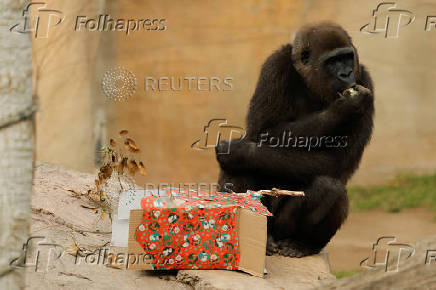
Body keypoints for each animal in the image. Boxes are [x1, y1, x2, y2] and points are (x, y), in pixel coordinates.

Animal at [216, 23, 372, 258]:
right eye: (332, 61)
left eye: (347, 57)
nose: (346, 74)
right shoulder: (276, 64)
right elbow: (262, 131)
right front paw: (342, 110)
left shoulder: (366, 82)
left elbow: (337, 161)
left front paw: (239, 152)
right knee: (239, 170)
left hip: (283, 229)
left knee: (330, 187)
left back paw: (303, 244)